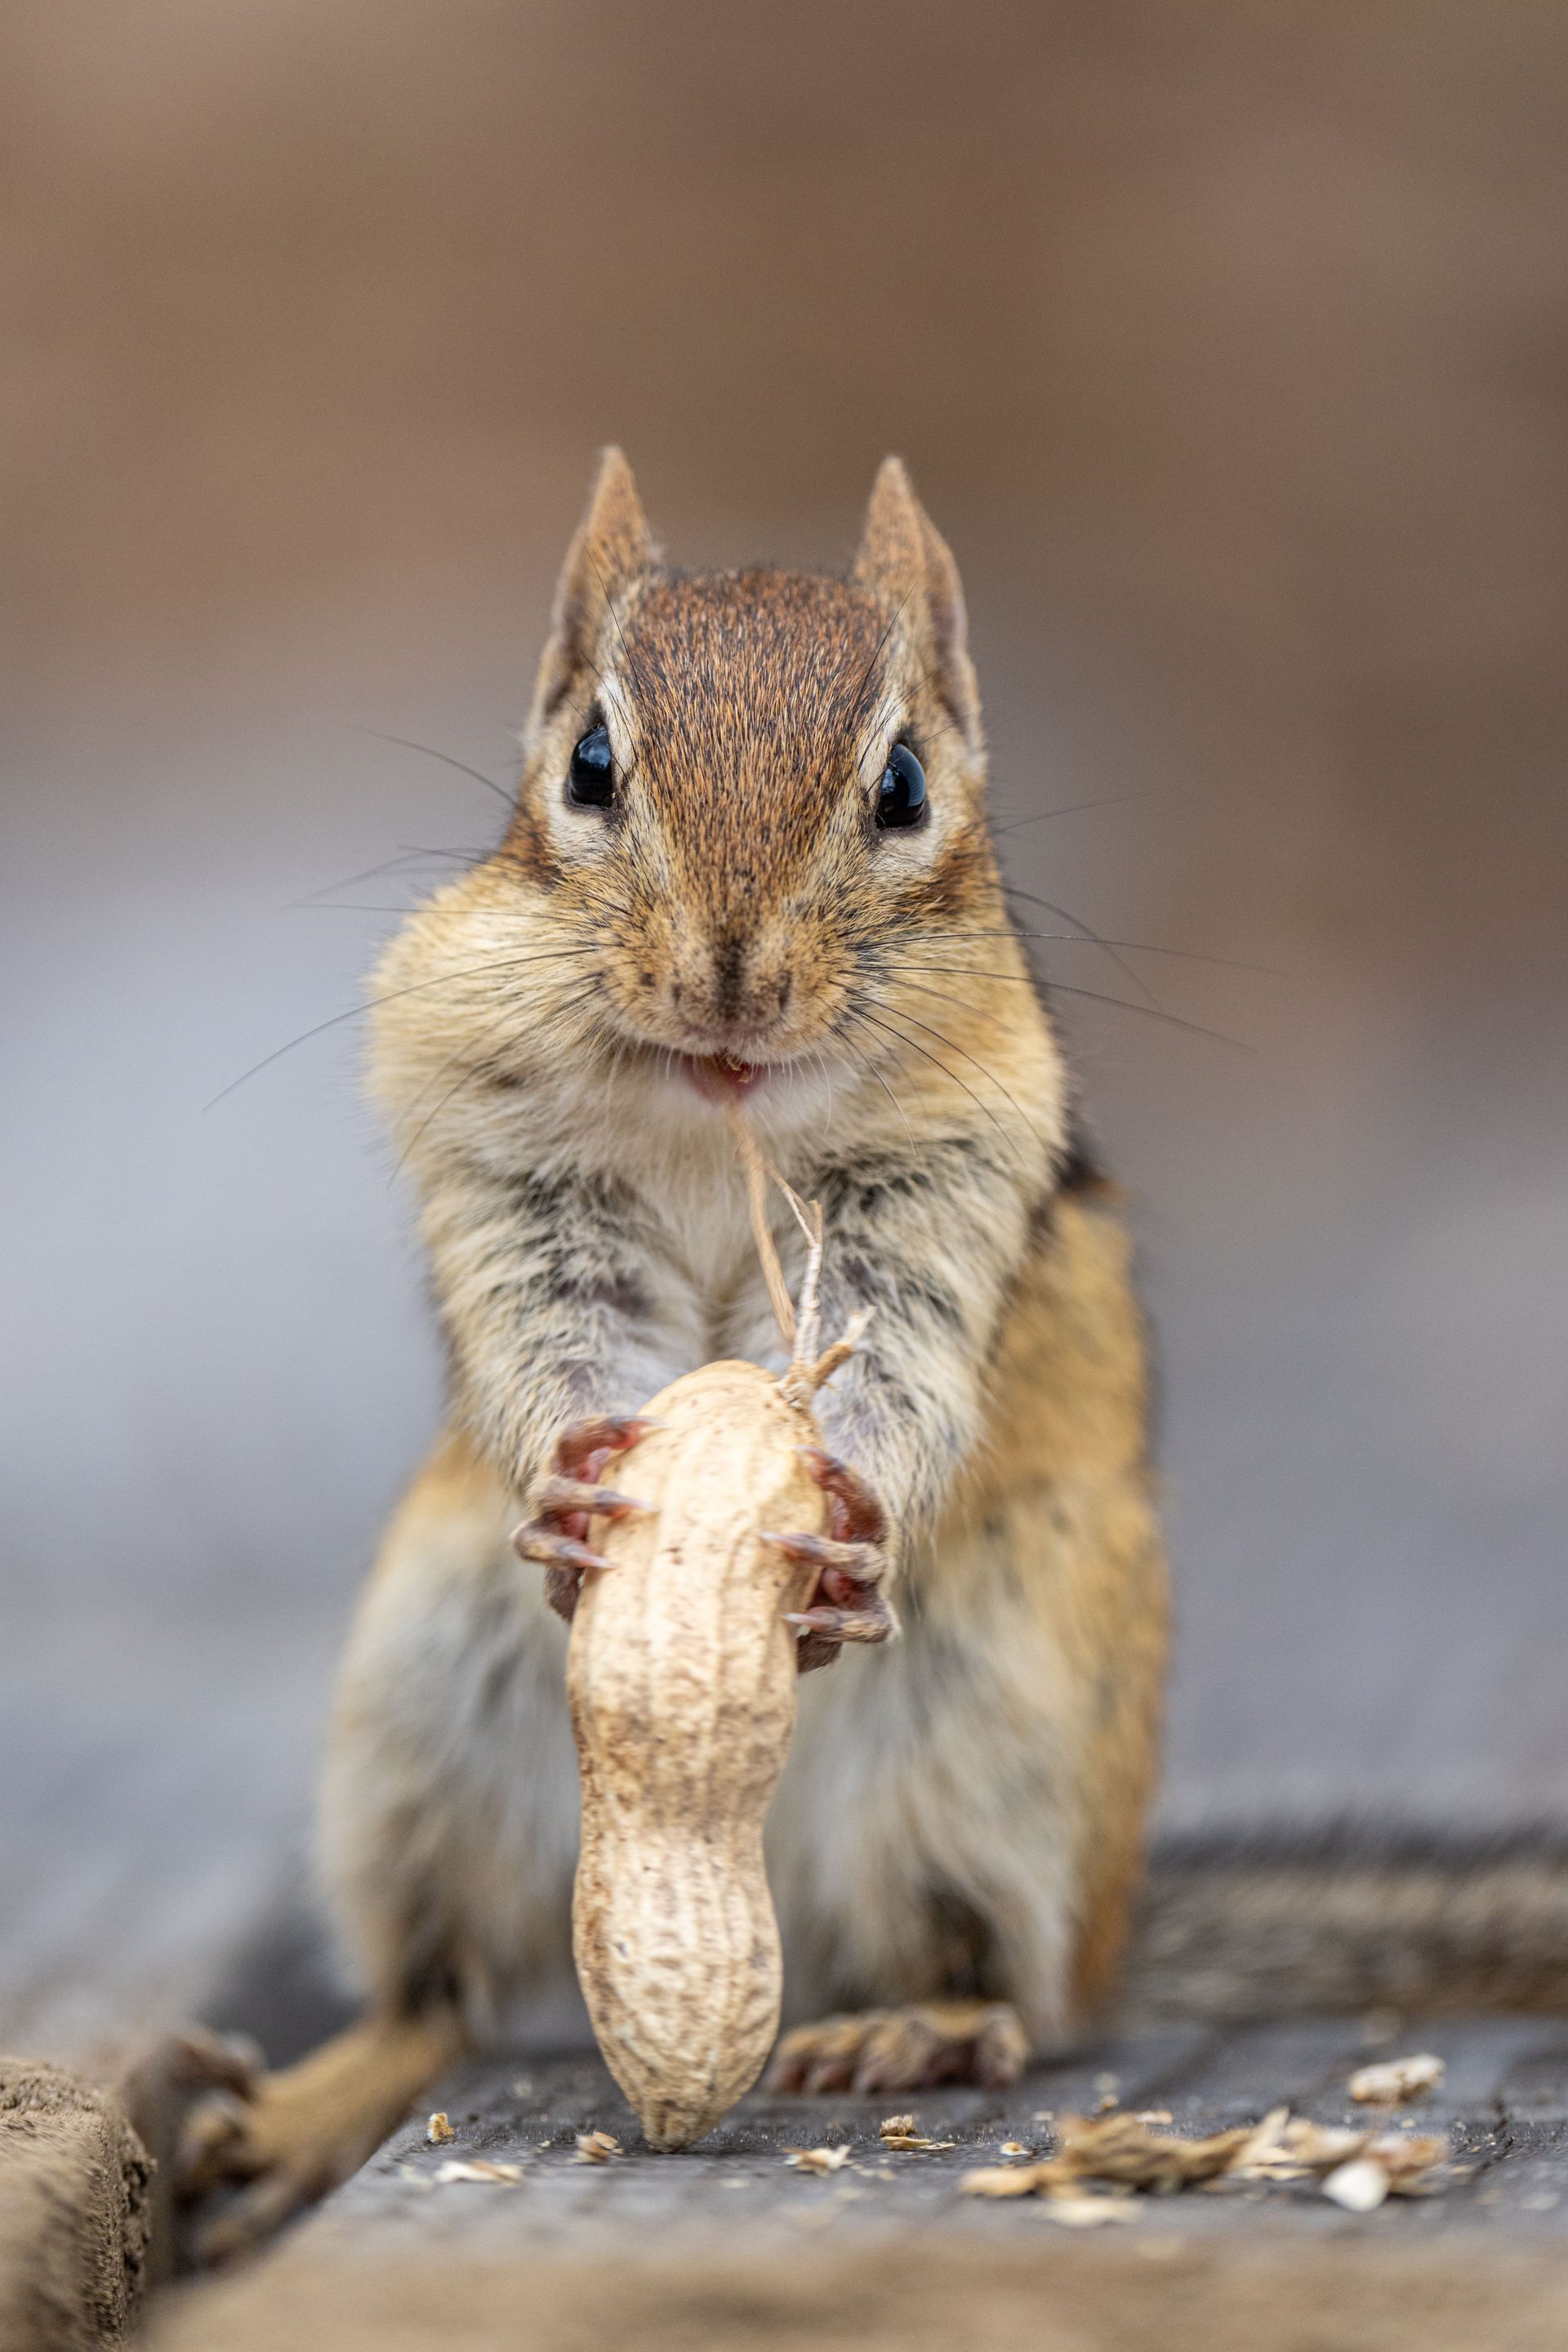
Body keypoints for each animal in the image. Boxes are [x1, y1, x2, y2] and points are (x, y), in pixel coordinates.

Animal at [179, 450, 1168, 2259]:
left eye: (904, 784)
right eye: (588, 763)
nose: (728, 977)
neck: (721, 1103)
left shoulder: (943, 1180)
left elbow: (896, 1364)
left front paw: (849, 1533)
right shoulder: (507, 1161)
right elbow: (548, 1324)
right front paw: (575, 1488)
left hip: (1014, 1734)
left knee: (1004, 1976)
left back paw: (917, 2026)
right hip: (421, 1713)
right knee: (443, 1984)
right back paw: (303, 2106)